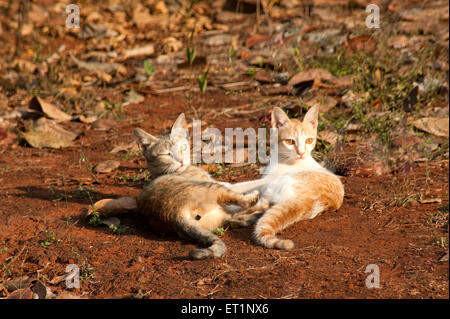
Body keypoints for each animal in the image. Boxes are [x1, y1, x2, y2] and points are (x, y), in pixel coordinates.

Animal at [88, 114, 266, 260]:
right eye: (166, 154)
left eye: (183, 147)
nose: (181, 160)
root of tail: (175, 215)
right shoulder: (224, 185)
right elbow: (252, 184)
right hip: (214, 188)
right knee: (244, 204)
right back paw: (257, 202)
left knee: (237, 219)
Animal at [229, 106, 344, 251]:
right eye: (290, 142)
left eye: (309, 140)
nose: (301, 153)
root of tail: (306, 201)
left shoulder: (265, 181)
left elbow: (240, 185)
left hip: (274, 185)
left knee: (261, 204)